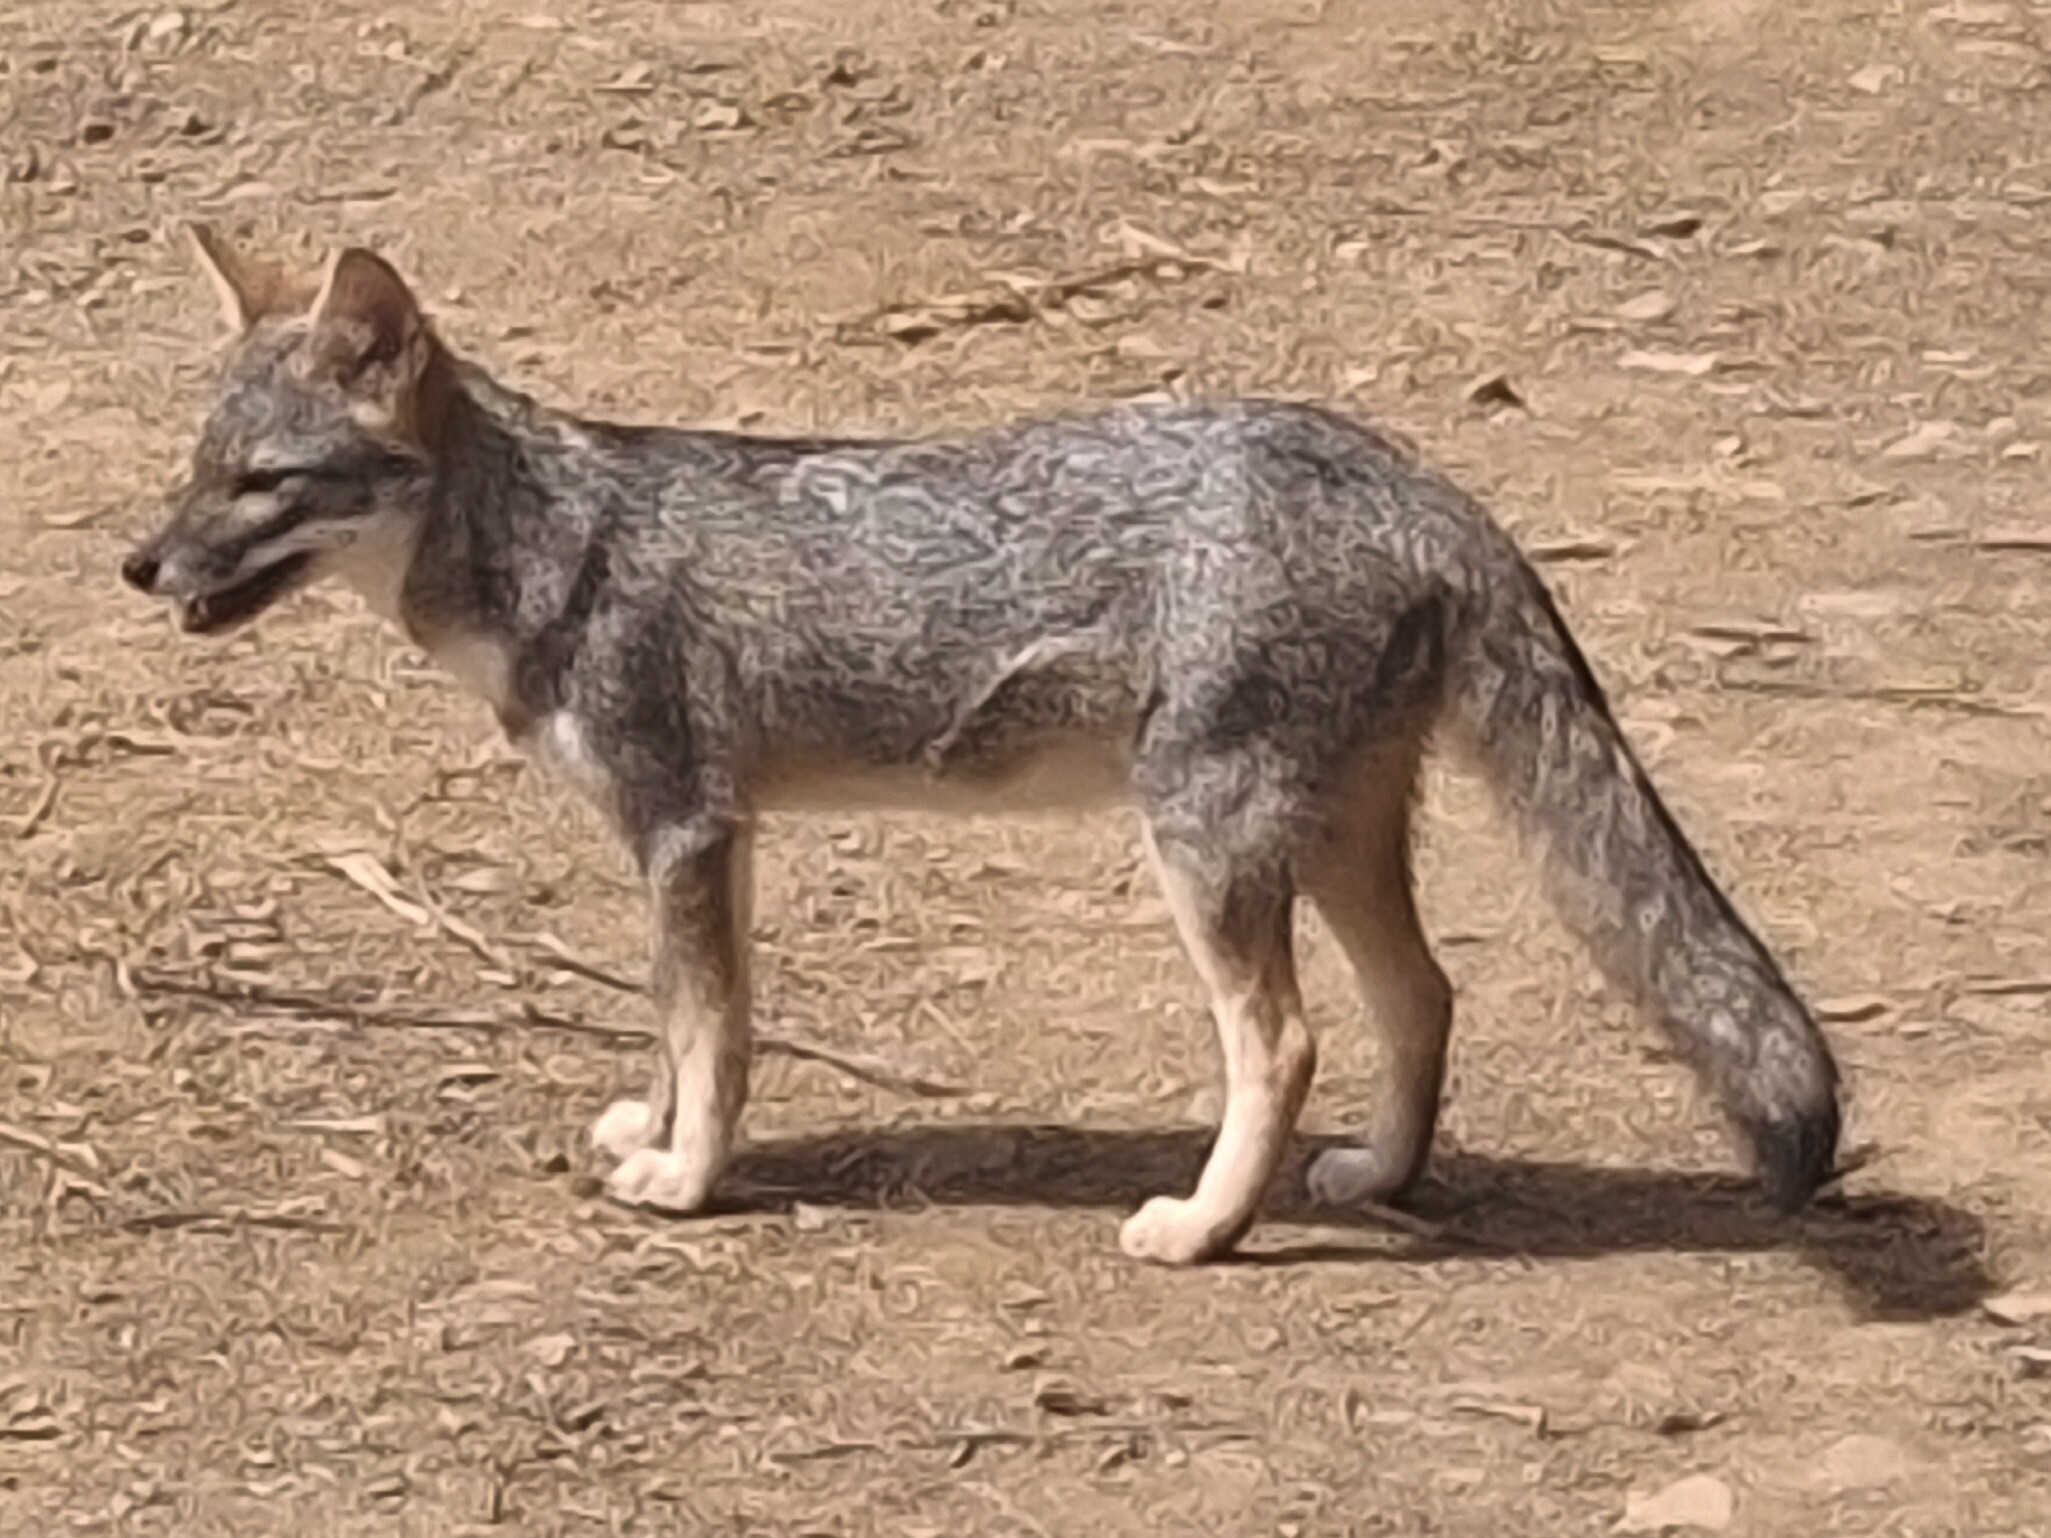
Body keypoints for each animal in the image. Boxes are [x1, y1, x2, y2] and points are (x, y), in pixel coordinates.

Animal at [121, 226, 1842, 1265]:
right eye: (195, 469)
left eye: (265, 483)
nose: (138, 567)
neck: (563, 542)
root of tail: (1413, 474)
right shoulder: (708, 842)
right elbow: (682, 1025)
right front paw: (653, 1133)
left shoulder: (686, 826)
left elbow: (710, 1028)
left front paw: (686, 1178)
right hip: (1334, 836)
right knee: (1420, 994)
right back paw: (1378, 1178)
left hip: (1204, 846)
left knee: (1280, 1041)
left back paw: (1202, 1227)